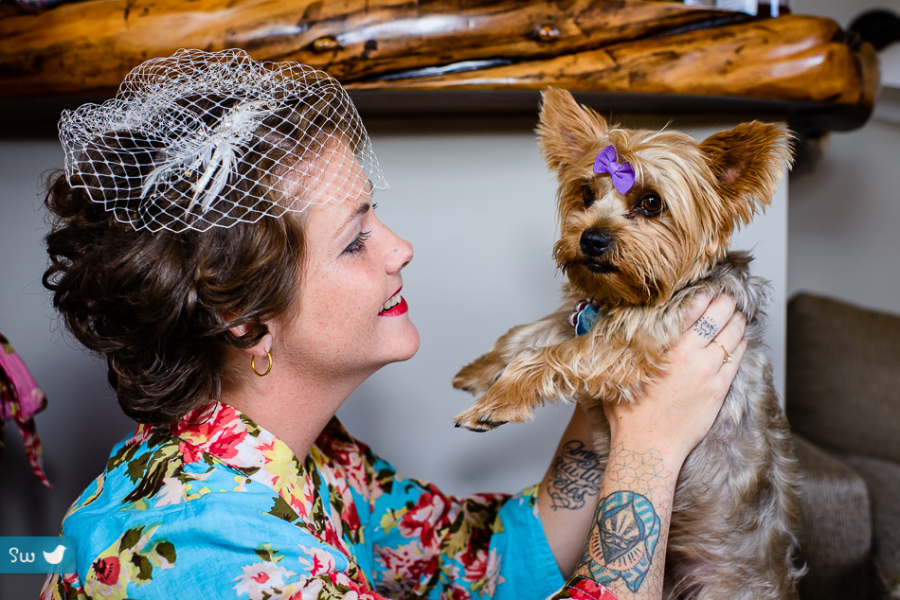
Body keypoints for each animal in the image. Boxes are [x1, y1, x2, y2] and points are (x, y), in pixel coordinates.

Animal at [458, 88, 800, 600]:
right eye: (585, 193)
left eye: (652, 203)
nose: (591, 239)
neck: (630, 297)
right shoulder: (584, 317)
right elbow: (532, 331)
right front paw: (479, 371)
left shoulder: (634, 347)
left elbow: (551, 354)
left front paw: (494, 401)